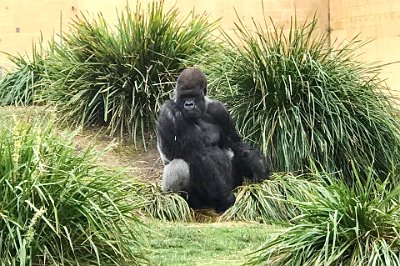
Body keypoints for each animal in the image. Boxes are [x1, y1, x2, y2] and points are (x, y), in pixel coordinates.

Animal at [156, 67, 268, 212]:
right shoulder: (169, 112)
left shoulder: (219, 109)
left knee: (230, 151)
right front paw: (225, 199)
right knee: (180, 165)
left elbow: (232, 142)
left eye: (193, 95)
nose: (189, 104)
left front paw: (256, 163)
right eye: (184, 96)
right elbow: (196, 155)